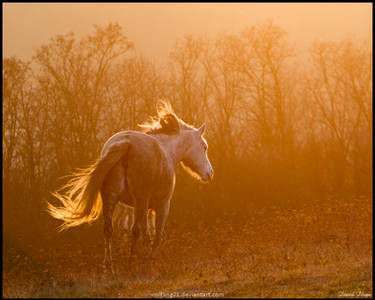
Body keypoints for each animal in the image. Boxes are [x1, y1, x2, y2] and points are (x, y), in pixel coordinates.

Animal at [46, 101, 214, 274]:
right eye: (204, 146)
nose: (209, 173)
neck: (167, 149)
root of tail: (126, 143)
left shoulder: (141, 207)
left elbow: (144, 233)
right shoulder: (161, 206)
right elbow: (156, 236)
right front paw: (150, 262)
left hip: (111, 198)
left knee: (109, 229)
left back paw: (110, 268)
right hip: (140, 199)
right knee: (137, 232)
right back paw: (133, 263)